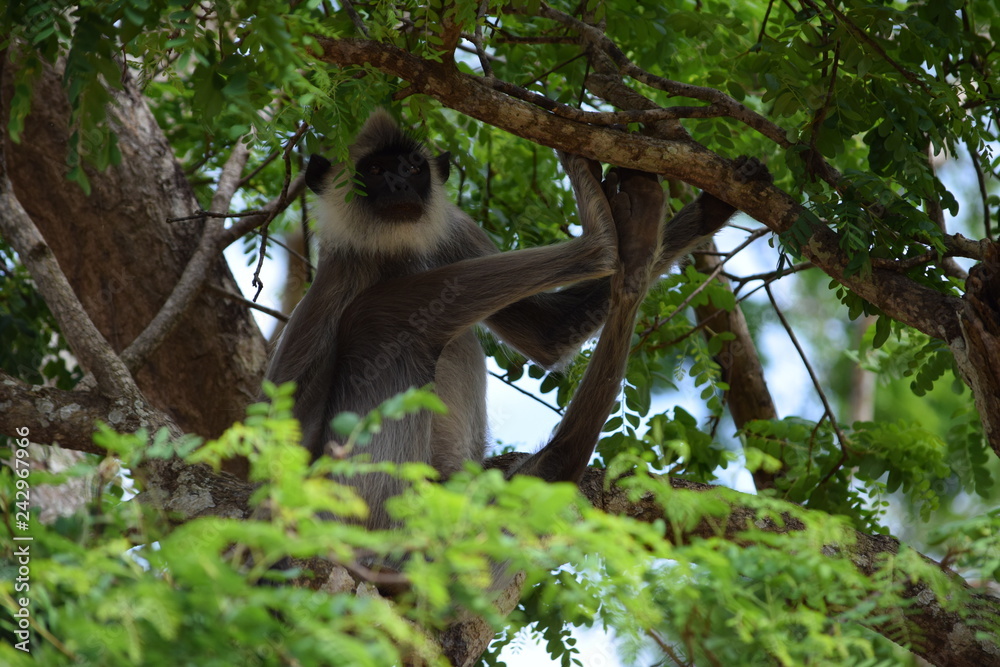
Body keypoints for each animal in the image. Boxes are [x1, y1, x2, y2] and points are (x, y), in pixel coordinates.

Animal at [264, 109, 770, 531]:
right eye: (373, 171)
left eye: (410, 169)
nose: (397, 185)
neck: (394, 251)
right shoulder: (343, 275)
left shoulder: (455, 235)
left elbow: (549, 334)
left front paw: (715, 205)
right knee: (381, 319)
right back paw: (611, 239)